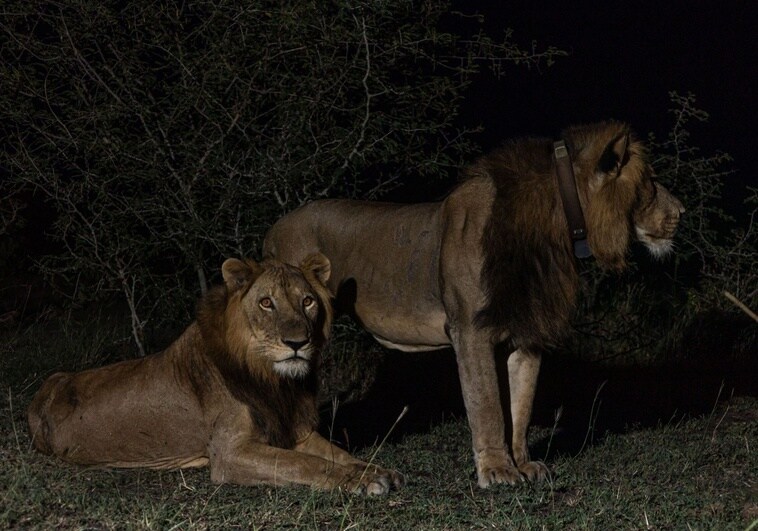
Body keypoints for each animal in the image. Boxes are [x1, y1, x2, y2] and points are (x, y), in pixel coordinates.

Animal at [26, 254, 404, 494]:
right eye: (266, 303)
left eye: (308, 301)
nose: (298, 343)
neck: (273, 380)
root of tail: (45, 390)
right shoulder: (230, 453)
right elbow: (304, 465)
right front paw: (361, 481)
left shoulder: (294, 431)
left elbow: (337, 453)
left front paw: (375, 470)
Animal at [264, 122, 684, 488]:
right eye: (650, 182)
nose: (681, 212)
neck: (554, 231)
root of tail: (276, 226)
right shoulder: (470, 329)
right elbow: (488, 405)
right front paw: (497, 471)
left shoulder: (527, 332)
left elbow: (520, 406)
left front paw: (524, 464)